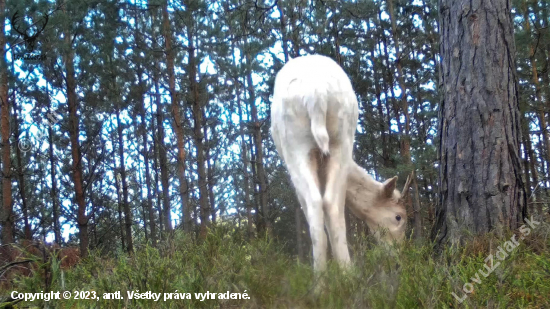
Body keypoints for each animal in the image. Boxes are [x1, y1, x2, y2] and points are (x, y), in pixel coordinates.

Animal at [272, 54, 410, 270]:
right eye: (399, 217)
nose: (398, 259)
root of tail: (316, 92)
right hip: (341, 141)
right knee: (331, 205)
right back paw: (346, 272)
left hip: (297, 145)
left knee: (318, 205)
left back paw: (323, 275)